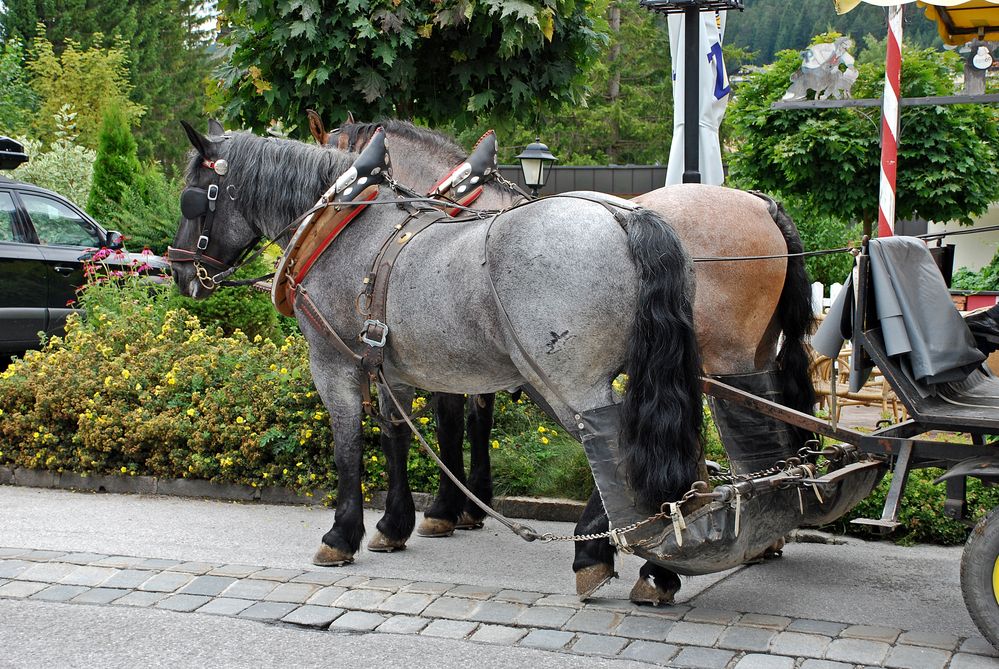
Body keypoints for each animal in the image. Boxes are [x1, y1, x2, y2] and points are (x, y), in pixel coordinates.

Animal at [170, 121, 704, 588]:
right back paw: (659, 559)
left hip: (565, 380)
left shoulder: (334, 363)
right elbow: (398, 436)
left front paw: (343, 534)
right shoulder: (395, 367)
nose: (179, 271)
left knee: (614, 447)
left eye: (194, 196)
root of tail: (626, 216)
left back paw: (599, 550)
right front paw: (394, 524)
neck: (342, 224)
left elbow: (351, 446)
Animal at [316, 117, 816, 604]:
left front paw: (440, 511)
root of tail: (761, 205)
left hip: (715, 357)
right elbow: (475, 424)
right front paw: (467, 506)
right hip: (747, 355)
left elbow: (448, 425)